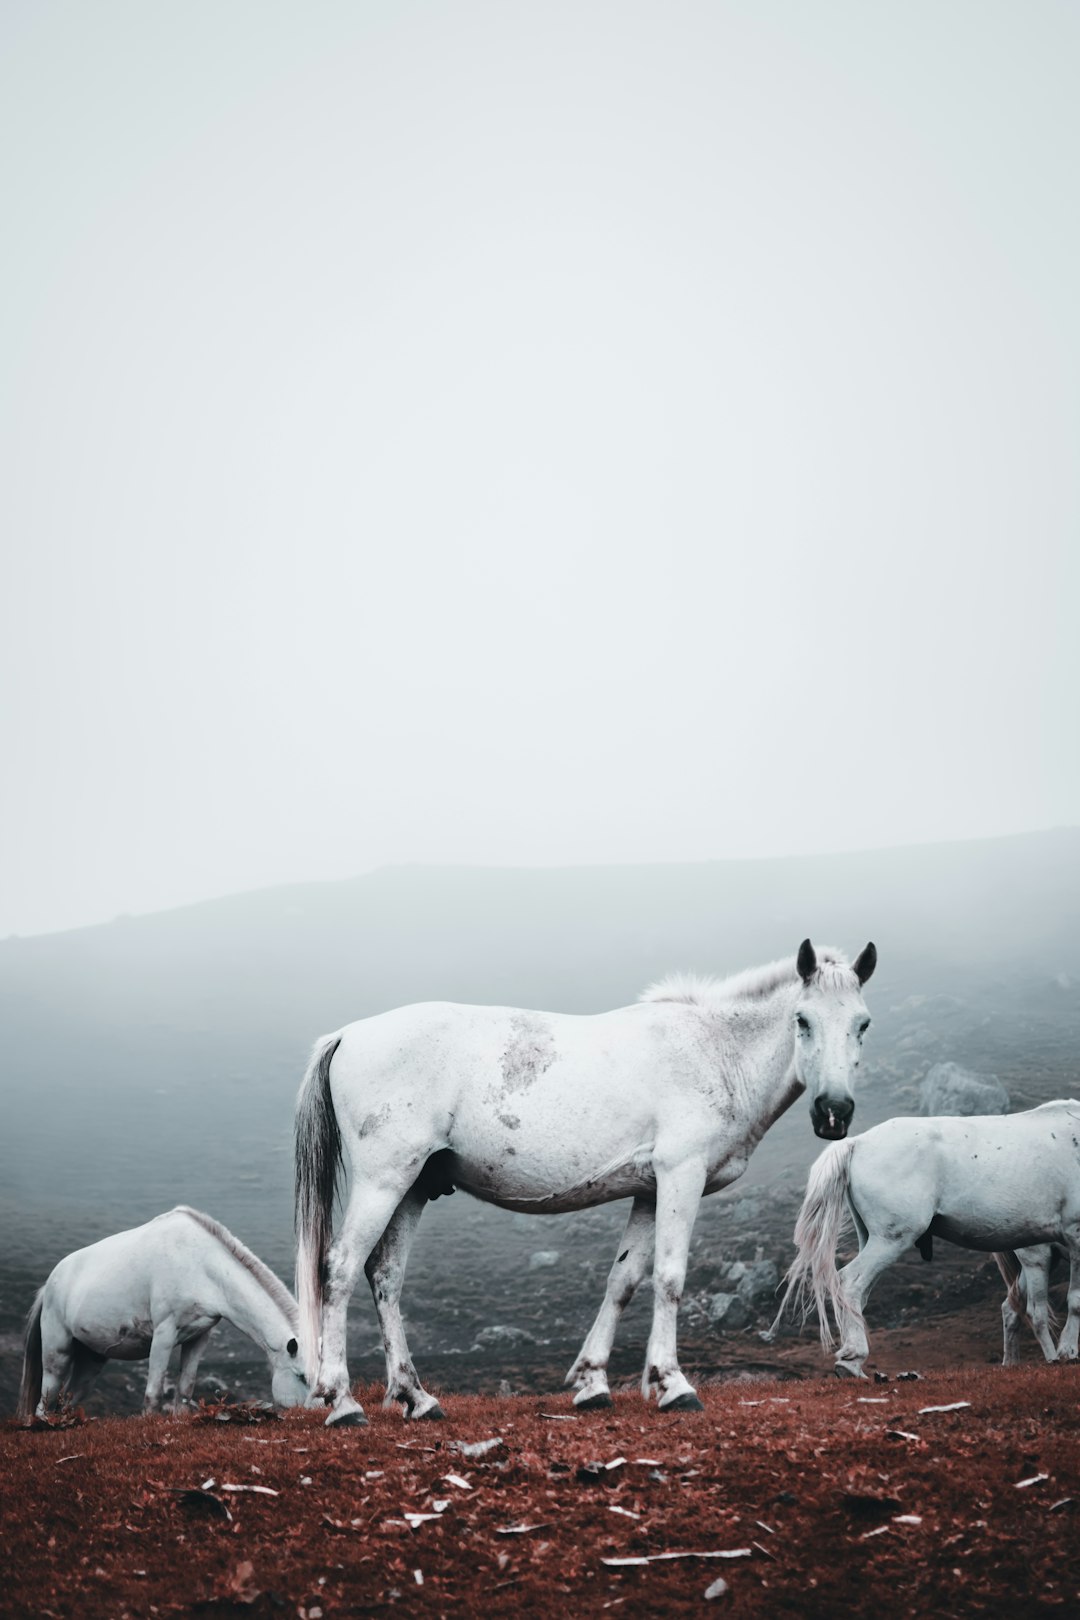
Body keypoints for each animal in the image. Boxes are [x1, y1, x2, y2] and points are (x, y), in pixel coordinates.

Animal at [19, 1205, 310, 1419]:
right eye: (301, 1376)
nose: (312, 1416)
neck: (201, 1265)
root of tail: (48, 1286)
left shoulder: (199, 1337)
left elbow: (185, 1388)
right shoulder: (164, 1334)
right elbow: (154, 1393)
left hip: (91, 1359)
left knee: (67, 1400)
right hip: (58, 1351)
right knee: (46, 1401)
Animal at [293, 933, 880, 1425]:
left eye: (863, 1024)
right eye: (802, 1020)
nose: (833, 1113)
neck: (715, 1050)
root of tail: (349, 1035)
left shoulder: (648, 1191)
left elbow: (623, 1281)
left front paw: (593, 1382)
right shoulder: (680, 1176)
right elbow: (670, 1277)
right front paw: (674, 1385)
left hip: (412, 1188)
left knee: (385, 1276)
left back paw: (416, 1396)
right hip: (384, 1181)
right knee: (340, 1268)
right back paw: (342, 1401)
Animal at [767, 1101, 1080, 1380]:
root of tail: (857, 1143)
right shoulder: (1074, 1235)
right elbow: (1075, 1300)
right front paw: (1068, 1352)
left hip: (873, 1238)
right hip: (893, 1239)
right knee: (850, 1282)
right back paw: (851, 1362)